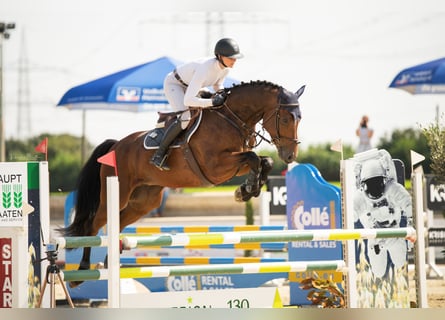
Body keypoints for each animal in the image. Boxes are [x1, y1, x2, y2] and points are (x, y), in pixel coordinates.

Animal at [60, 80, 304, 288]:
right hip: (118, 194)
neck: (231, 119)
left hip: (145, 201)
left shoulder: (234, 162)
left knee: (118, 222)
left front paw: (246, 190)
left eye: (299, 118)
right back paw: (81, 273)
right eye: (285, 119)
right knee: (94, 224)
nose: (290, 156)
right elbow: (253, 158)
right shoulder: (215, 167)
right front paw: (246, 190)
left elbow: (264, 161)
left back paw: (110, 263)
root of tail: (116, 145)